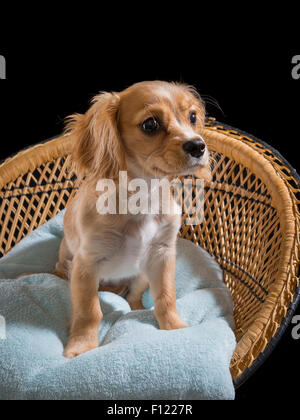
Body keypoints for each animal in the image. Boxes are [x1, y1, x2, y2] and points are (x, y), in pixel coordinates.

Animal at [56, 79, 211, 358]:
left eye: (192, 117)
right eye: (150, 125)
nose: (197, 145)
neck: (143, 197)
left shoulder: (162, 254)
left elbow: (166, 297)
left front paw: (175, 328)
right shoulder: (86, 265)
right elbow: (89, 312)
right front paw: (82, 346)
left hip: (141, 273)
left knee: (133, 296)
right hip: (66, 264)